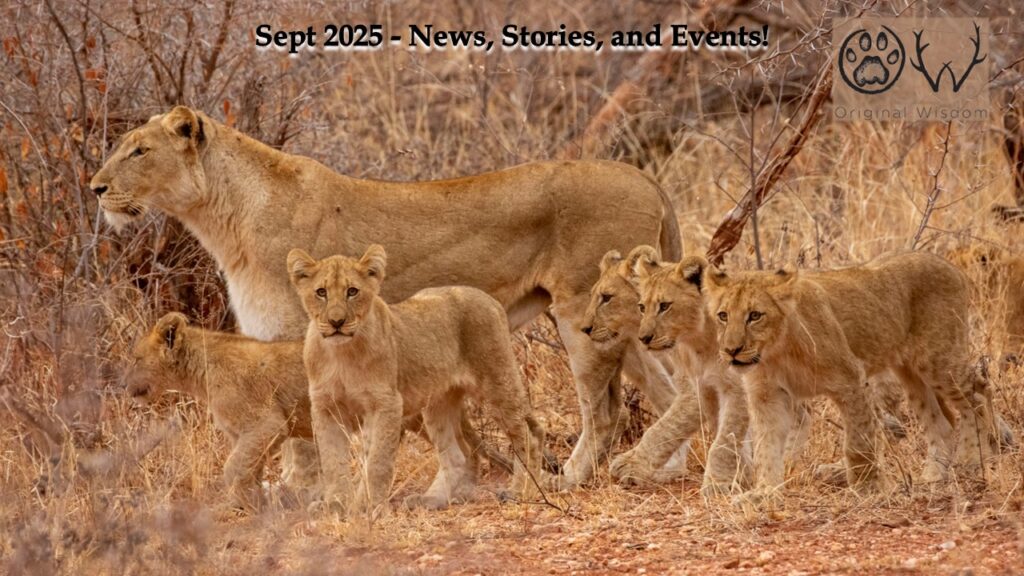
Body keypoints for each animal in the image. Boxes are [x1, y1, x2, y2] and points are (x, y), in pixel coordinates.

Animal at [289, 245, 545, 513]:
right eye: (321, 292)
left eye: (352, 291)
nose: (336, 322)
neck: (341, 353)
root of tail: (489, 298)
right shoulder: (326, 407)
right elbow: (333, 461)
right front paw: (335, 505)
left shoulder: (386, 403)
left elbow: (377, 461)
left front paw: (370, 507)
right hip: (438, 402)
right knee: (457, 455)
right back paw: (431, 499)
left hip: (496, 382)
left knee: (530, 435)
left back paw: (522, 491)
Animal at [701, 251, 992, 503]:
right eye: (723, 316)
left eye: (755, 316)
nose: (731, 350)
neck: (776, 352)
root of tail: (950, 266)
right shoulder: (767, 396)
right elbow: (767, 448)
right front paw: (764, 493)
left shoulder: (851, 381)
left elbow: (858, 443)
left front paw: (867, 489)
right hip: (910, 374)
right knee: (941, 423)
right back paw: (933, 475)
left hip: (939, 361)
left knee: (979, 392)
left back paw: (974, 457)